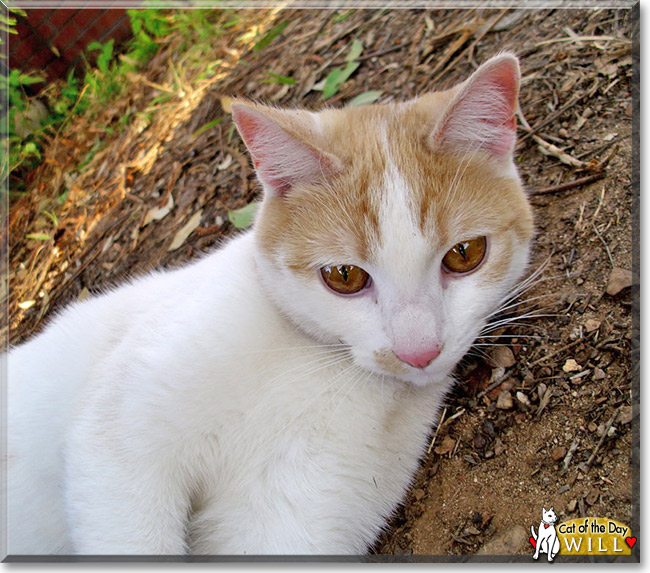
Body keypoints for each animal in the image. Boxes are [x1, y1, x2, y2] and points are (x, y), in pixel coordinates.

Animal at [5, 53, 532, 556]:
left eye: (465, 254)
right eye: (344, 277)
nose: (419, 351)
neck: (316, 360)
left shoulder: (284, 520)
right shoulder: (119, 437)